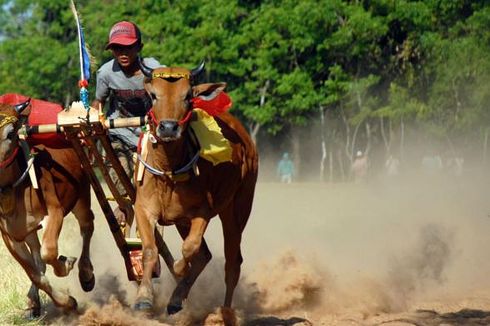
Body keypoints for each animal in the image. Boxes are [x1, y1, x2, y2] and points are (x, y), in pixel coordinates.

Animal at [0, 100, 94, 318]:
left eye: (10, 133)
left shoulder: (54, 212)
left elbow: (49, 252)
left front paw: (66, 264)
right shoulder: (9, 235)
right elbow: (35, 273)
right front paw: (66, 302)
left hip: (82, 197)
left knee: (87, 227)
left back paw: (86, 274)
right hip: (28, 231)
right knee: (38, 260)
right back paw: (32, 302)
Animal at [132, 58, 258, 316]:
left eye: (188, 96)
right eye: (153, 95)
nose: (168, 128)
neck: (168, 171)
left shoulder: (202, 212)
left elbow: (189, 249)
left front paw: (179, 268)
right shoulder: (144, 209)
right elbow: (150, 250)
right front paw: (144, 298)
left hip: (237, 208)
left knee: (232, 261)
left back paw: (224, 312)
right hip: (183, 220)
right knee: (206, 255)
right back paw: (176, 299)